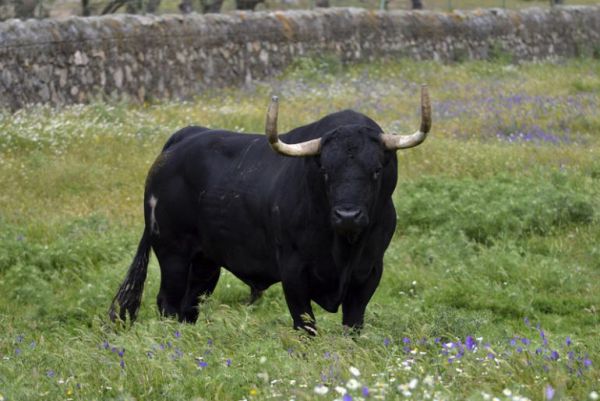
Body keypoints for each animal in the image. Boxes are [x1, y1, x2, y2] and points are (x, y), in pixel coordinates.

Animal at [109, 86, 432, 332]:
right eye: (325, 171)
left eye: (376, 170)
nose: (348, 216)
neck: (343, 249)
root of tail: (182, 139)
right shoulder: (293, 271)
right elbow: (305, 325)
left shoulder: (369, 272)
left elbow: (353, 325)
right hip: (172, 252)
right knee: (169, 304)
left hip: (205, 261)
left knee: (190, 306)